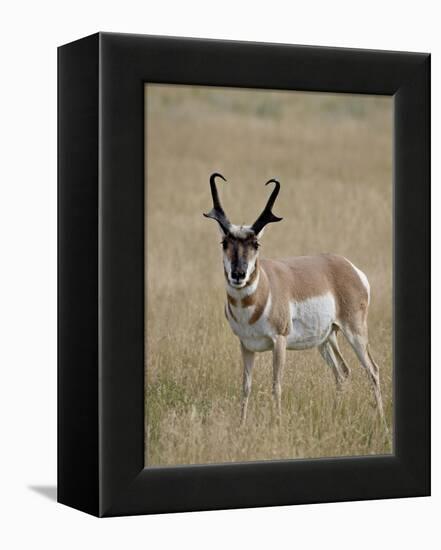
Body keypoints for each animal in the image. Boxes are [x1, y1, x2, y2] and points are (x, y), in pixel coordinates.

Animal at [204, 172, 384, 426]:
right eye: (225, 243)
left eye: (256, 244)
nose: (238, 274)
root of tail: (349, 267)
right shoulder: (246, 346)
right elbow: (245, 387)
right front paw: (241, 425)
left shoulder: (279, 342)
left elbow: (276, 385)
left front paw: (276, 424)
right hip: (327, 338)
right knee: (342, 371)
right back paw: (335, 415)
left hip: (355, 332)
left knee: (372, 370)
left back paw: (381, 421)